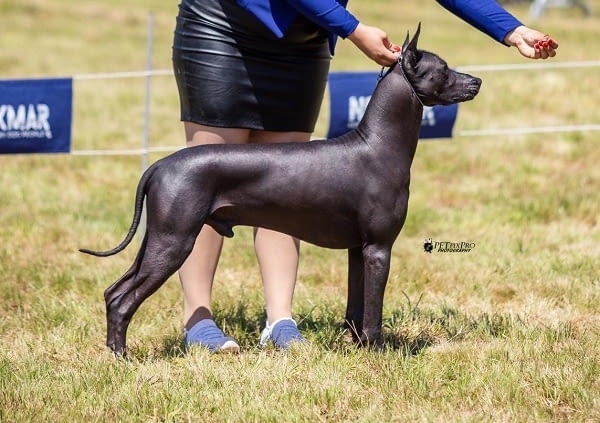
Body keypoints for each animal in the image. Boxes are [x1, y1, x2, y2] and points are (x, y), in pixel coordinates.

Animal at [82, 24, 480, 356]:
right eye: (444, 69)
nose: (476, 81)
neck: (377, 143)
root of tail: (160, 165)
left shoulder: (359, 250)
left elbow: (356, 308)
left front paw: (358, 347)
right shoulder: (380, 249)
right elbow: (373, 312)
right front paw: (379, 353)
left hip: (158, 239)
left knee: (113, 292)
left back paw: (112, 352)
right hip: (174, 241)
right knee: (123, 300)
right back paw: (122, 357)